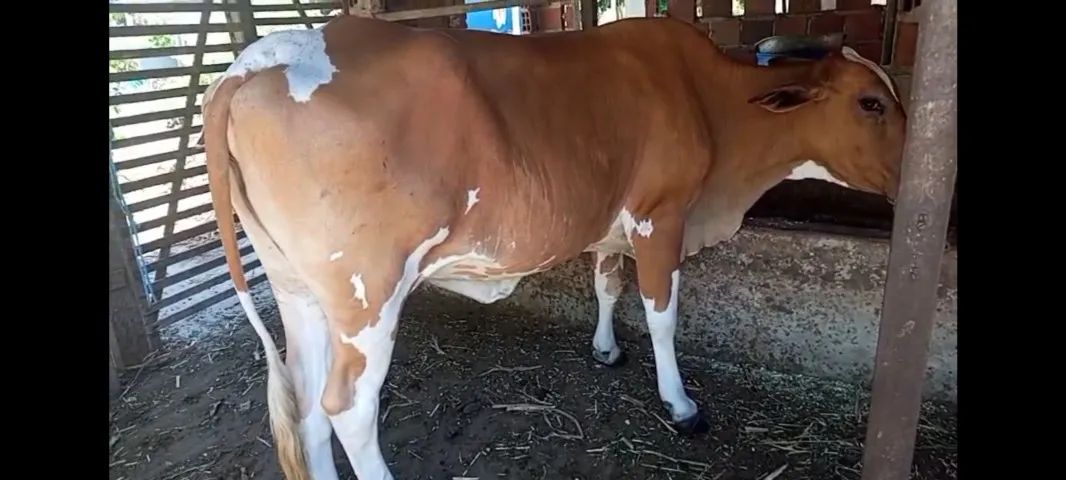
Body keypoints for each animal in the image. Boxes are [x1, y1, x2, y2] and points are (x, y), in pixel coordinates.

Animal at [201, 14, 905, 480]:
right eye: (870, 102)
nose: (919, 173)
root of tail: (256, 59)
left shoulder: (611, 223)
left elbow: (606, 283)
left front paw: (605, 348)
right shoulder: (661, 217)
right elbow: (662, 314)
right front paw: (680, 404)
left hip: (298, 289)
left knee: (306, 403)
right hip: (367, 295)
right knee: (347, 407)